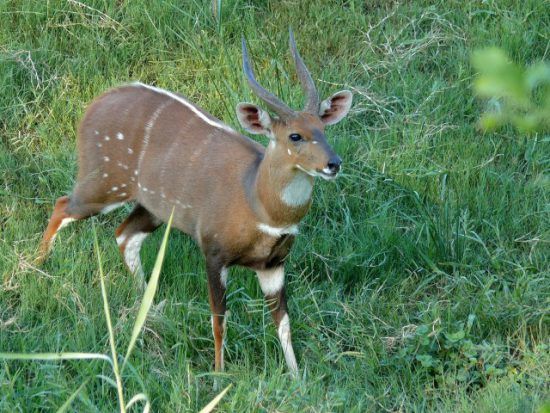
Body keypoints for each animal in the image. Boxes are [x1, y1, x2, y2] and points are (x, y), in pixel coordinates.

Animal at [41, 30, 356, 374]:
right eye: (295, 136)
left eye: (323, 129)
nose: (333, 164)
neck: (260, 207)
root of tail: (93, 106)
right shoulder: (213, 252)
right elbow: (219, 320)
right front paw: (219, 374)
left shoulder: (273, 264)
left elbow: (283, 322)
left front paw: (297, 377)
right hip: (104, 183)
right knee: (62, 205)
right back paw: (37, 267)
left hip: (153, 207)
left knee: (124, 234)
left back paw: (148, 304)